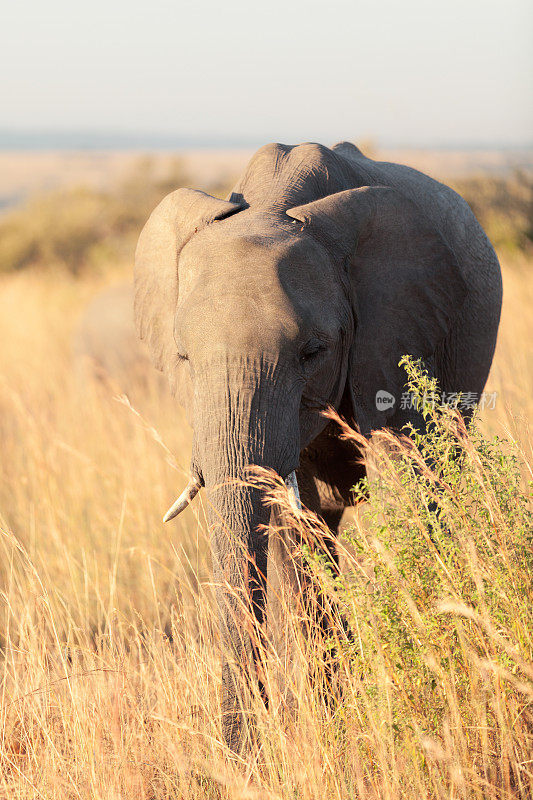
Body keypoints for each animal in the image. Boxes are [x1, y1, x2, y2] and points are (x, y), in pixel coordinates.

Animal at [133, 141, 502, 752]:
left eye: (314, 351)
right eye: (183, 357)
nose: (240, 754)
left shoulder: (399, 330)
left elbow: (406, 489)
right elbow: (295, 531)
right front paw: (331, 725)